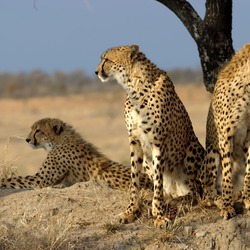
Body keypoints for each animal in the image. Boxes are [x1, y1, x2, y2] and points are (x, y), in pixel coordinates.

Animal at [0, 118, 152, 190]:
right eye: (32, 129)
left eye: (38, 130)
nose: (27, 139)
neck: (59, 141)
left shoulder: (41, 179)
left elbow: (13, 180)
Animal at [95, 45, 205, 229]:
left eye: (107, 59)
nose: (96, 71)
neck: (134, 85)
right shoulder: (134, 140)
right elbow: (135, 180)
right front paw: (131, 211)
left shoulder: (157, 142)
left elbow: (158, 183)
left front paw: (159, 216)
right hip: (148, 162)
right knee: (169, 192)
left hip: (192, 148)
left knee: (197, 192)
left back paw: (183, 199)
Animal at [200, 44, 250, 220]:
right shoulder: (225, 138)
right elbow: (227, 174)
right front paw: (228, 206)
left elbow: (249, 171)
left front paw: (248, 198)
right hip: (211, 154)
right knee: (208, 192)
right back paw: (221, 199)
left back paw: (239, 194)